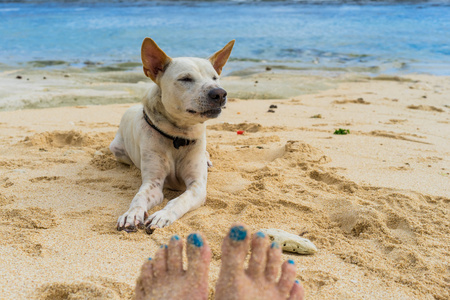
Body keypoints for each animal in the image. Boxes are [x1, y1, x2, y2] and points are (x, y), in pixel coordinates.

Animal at [110, 37, 234, 233]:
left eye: (215, 78)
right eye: (185, 79)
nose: (220, 93)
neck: (178, 136)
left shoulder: (197, 186)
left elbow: (179, 200)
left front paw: (162, 215)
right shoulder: (153, 183)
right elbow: (139, 197)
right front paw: (132, 214)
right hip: (117, 149)